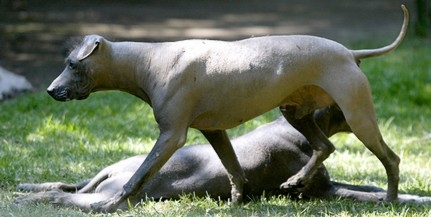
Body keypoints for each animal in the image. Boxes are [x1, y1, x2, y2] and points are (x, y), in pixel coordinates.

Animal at [45, 6, 410, 212]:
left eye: (72, 64)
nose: (50, 90)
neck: (147, 61)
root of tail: (349, 52)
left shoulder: (171, 136)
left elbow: (138, 176)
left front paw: (108, 205)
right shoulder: (214, 130)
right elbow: (235, 171)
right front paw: (235, 203)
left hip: (358, 117)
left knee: (391, 158)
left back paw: (390, 201)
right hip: (294, 112)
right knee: (325, 145)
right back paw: (296, 181)